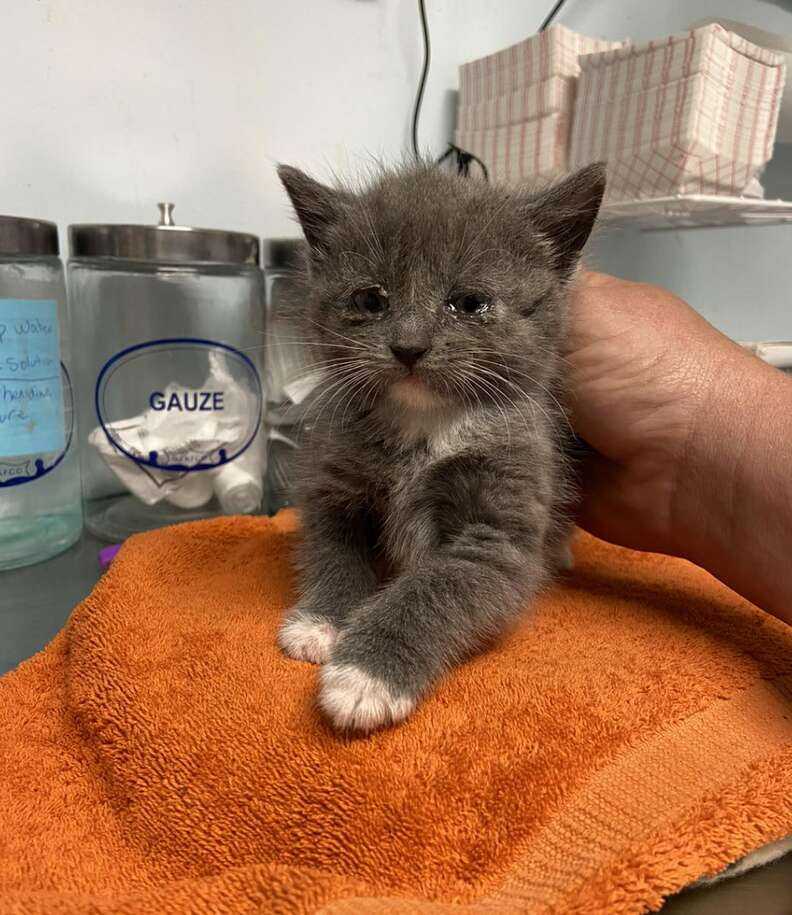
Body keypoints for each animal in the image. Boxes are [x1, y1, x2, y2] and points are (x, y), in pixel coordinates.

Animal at [276, 159, 604, 728]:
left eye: (469, 303)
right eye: (370, 299)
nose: (409, 345)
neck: (423, 425)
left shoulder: (501, 526)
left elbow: (439, 587)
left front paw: (365, 676)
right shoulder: (333, 481)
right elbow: (333, 551)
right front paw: (321, 621)